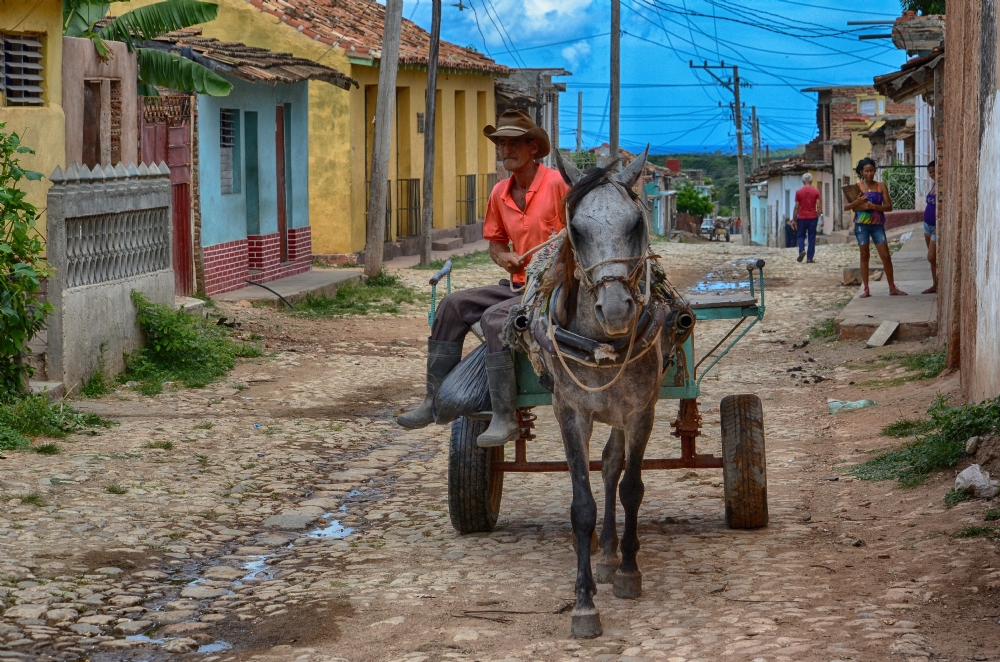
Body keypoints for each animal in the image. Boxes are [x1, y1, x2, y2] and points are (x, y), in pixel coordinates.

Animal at [544, 149, 668, 640]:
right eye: (576, 230)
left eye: (636, 223)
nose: (616, 310)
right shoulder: (570, 412)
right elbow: (582, 505)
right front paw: (583, 603)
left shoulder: (640, 412)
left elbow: (631, 486)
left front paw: (629, 571)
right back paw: (606, 553)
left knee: (614, 465)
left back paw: (615, 554)